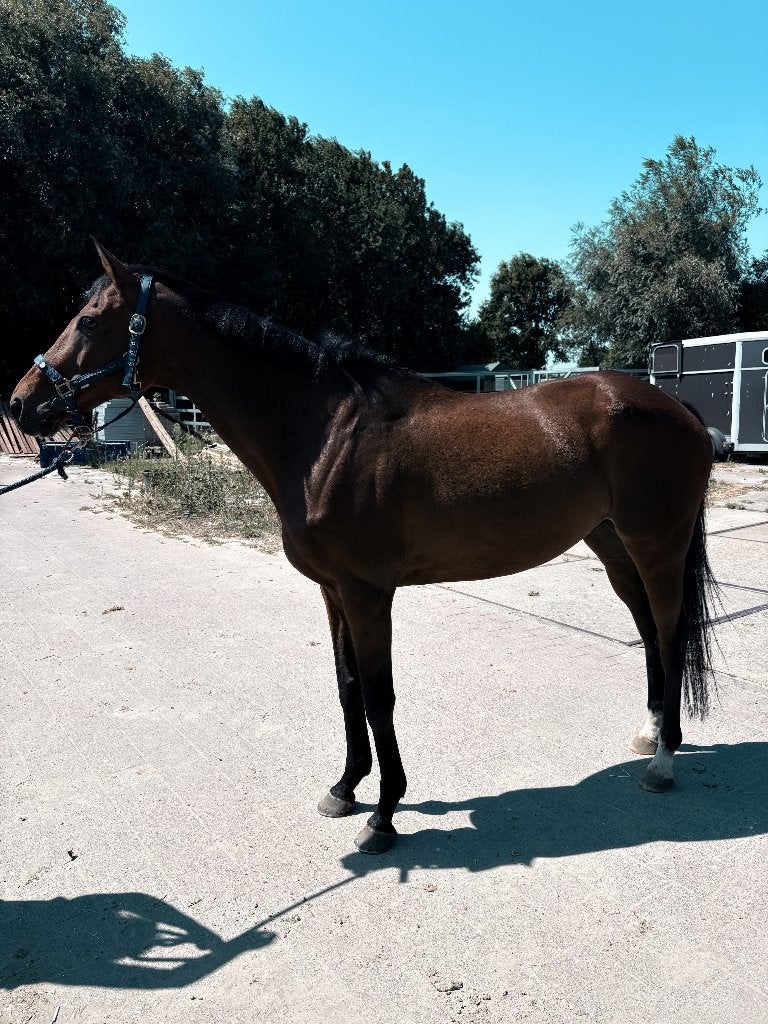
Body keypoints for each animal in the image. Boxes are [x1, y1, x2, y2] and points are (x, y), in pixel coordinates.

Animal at [11, 241, 718, 854]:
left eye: (90, 320)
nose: (21, 404)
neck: (324, 436)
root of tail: (676, 406)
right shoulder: (333, 591)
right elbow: (347, 686)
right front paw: (346, 787)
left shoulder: (368, 593)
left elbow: (380, 695)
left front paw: (384, 814)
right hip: (613, 546)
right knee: (650, 632)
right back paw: (653, 734)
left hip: (656, 544)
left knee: (669, 630)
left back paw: (662, 762)